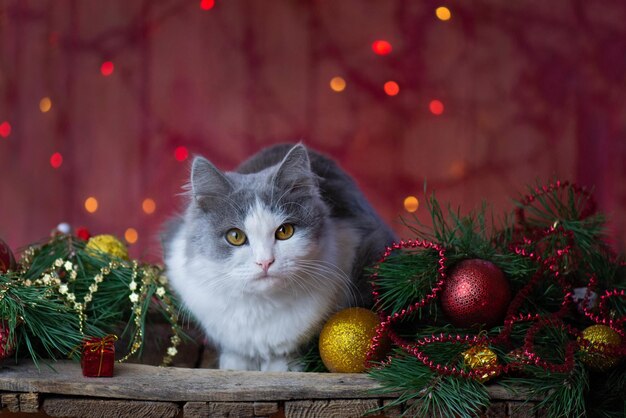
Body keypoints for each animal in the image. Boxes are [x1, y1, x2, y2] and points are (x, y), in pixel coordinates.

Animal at [163, 145, 392, 372]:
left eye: (285, 231)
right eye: (235, 236)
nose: (265, 262)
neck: (260, 307)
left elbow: (285, 354)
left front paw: (281, 368)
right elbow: (235, 351)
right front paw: (234, 366)